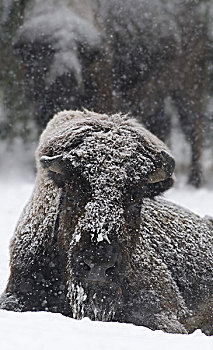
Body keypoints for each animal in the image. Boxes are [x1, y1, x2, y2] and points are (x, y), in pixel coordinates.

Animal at [0, 0, 208, 186]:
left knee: (193, 129)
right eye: (46, 50)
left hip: (188, 87)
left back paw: (195, 180)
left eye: (81, 52)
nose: (66, 76)